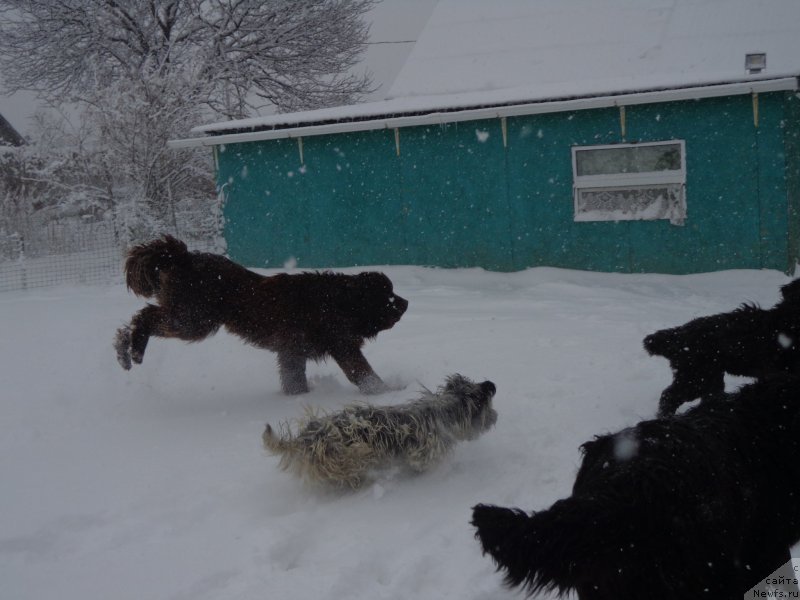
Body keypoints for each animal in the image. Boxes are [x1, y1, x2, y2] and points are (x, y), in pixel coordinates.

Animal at [112, 237, 406, 396]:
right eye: (387, 295)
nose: (405, 303)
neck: (339, 301)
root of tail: (182, 257)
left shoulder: (295, 353)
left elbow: (295, 378)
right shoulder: (338, 345)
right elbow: (363, 373)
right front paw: (387, 392)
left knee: (141, 318)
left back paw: (124, 349)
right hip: (192, 320)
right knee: (146, 316)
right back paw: (133, 350)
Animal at [266, 376, 496, 488]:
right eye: (486, 404)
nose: (491, 384)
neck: (444, 411)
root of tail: (306, 438)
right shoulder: (424, 456)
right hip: (354, 456)